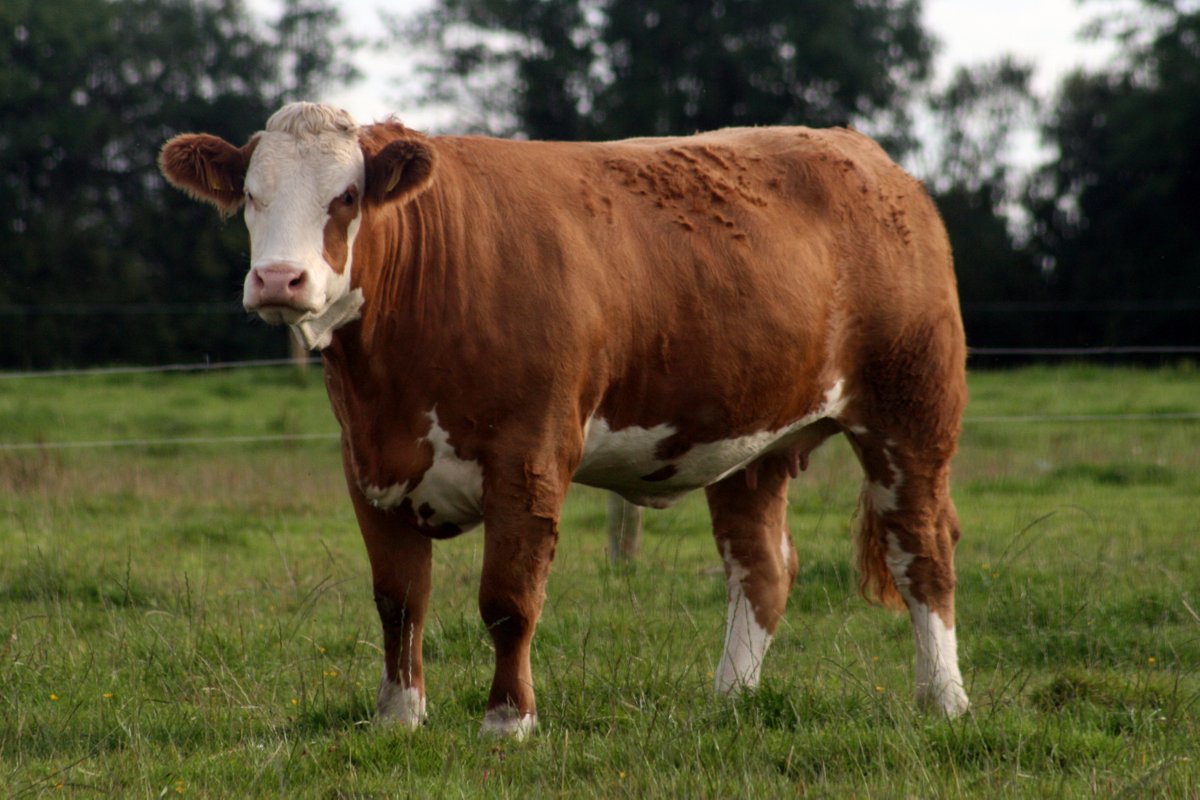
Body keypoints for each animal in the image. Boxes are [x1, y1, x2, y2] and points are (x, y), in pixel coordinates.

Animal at [159, 102, 969, 738]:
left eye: (348, 195)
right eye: (251, 195)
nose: (278, 280)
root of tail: (873, 161)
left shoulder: (531, 458)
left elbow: (508, 600)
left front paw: (508, 721)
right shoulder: (369, 466)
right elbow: (399, 600)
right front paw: (399, 716)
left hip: (911, 412)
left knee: (920, 552)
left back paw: (945, 701)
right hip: (749, 439)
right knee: (761, 568)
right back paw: (729, 701)